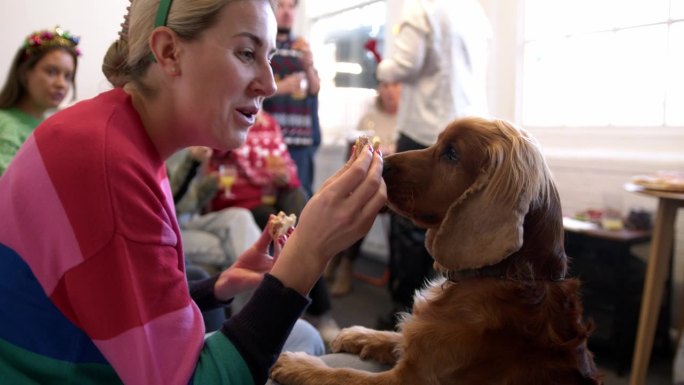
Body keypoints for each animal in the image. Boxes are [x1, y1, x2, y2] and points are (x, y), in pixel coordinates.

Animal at [270, 117, 600, 384]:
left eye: (452, 153)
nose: (384, 166)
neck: (506, 275)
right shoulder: (419, 347)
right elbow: (400, 335)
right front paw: (360, 334)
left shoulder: (411, 379)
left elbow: (346, 374)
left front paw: (299, 365)